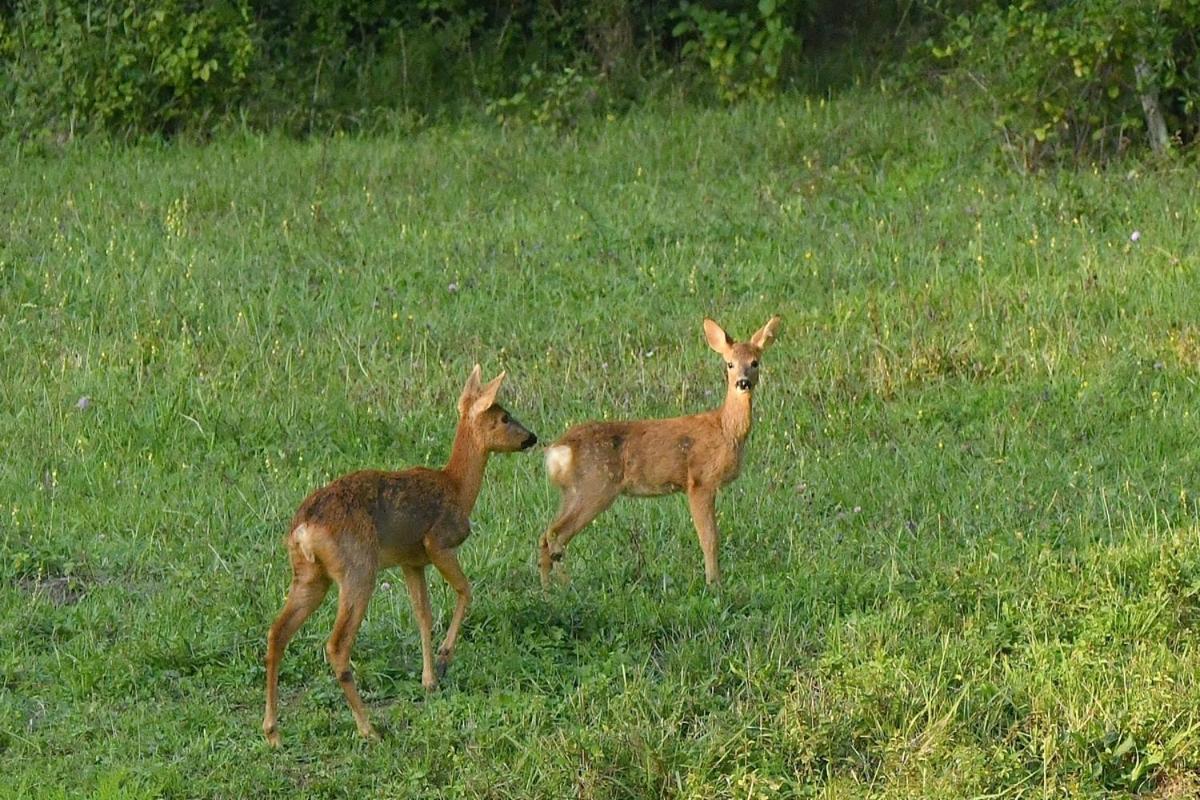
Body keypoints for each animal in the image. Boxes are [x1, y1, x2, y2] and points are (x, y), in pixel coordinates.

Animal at [270, 367, 542, 748]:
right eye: (504, 416)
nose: (531, 437)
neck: (457, 487)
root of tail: (304, 528)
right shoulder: (437, 542)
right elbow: (465, 591)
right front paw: (444, 658)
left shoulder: (410, 561)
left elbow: (422, 615)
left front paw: (428, 679)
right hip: (358, 569)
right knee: (336, 644)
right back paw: (368, 728)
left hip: (310, 574)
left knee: (277, 633)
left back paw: (272, 732)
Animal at [540, 316, 782, 587]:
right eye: (729, 363)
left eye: (755, 362)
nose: (743, 382)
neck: (726, 430)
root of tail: (560, 448)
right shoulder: (700, 480)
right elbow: (709, 539)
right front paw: (714, 583)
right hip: (595, 486)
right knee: (555, 534)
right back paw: (560, 585)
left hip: (573, 491)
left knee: (547, 535)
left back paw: (550, 586)